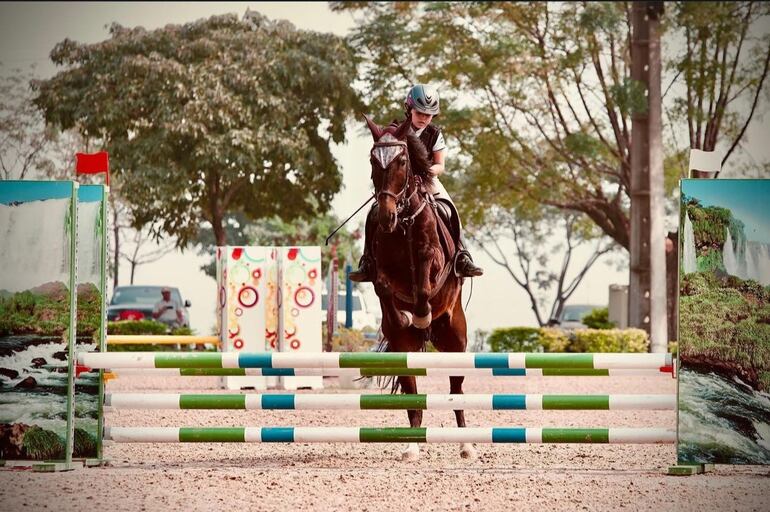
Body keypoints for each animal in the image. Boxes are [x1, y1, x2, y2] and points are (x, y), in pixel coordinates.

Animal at [362, 115, 474, 460]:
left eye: (401, 160)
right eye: (373, 161)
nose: (387, 216)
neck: (406, 220)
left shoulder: (433, 259)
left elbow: (424, 286)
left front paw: (421, 315)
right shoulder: (381, 267)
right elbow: (384, 287)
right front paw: (402, 318)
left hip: (456, 341)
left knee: (456, 391)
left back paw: (466, 445)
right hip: (404, 352)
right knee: (412, 397)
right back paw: (411, 447)